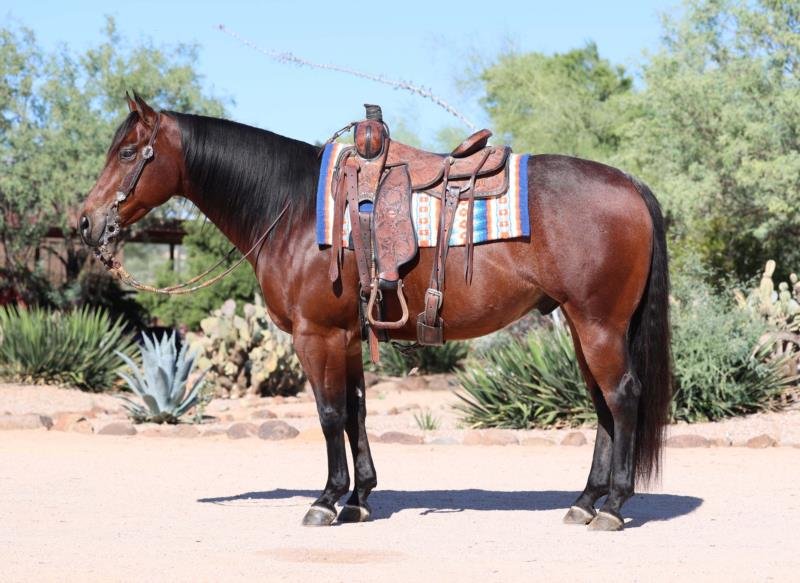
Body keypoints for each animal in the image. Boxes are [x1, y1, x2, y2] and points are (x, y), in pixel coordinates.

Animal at [79, 94, 672, 532]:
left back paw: (613, 507)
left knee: (622, 398)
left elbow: (328, 415)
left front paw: (326, 500)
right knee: (601, 405)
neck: (294, 208)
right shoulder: (346, 336)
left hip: (599, 325)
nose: (86, 222)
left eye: (128, 153)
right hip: (581, 325)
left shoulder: (314, 336)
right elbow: (357, 413)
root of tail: (631, 185)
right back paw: (584, 501)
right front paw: (359, 498)